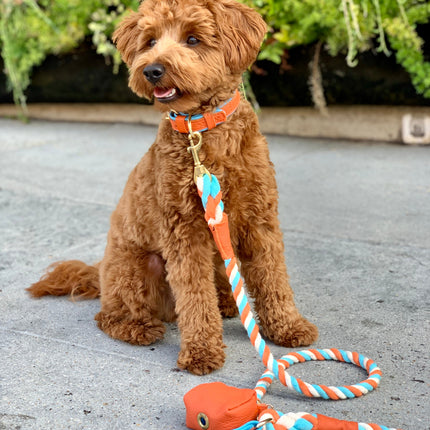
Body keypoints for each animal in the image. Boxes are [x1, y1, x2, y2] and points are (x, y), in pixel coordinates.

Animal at [26, 0, 316, 374]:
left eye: (192, 39)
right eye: (150, 41)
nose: (152, 70)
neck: (202, 129)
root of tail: (100, 271)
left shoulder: (259, 219)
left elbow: (273, 277)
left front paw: (288, 326)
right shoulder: (184, 230)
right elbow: (194, 295)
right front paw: (202, 350)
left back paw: (226, 302)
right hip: (137, 269)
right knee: (109, 316)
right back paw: (139, 328)